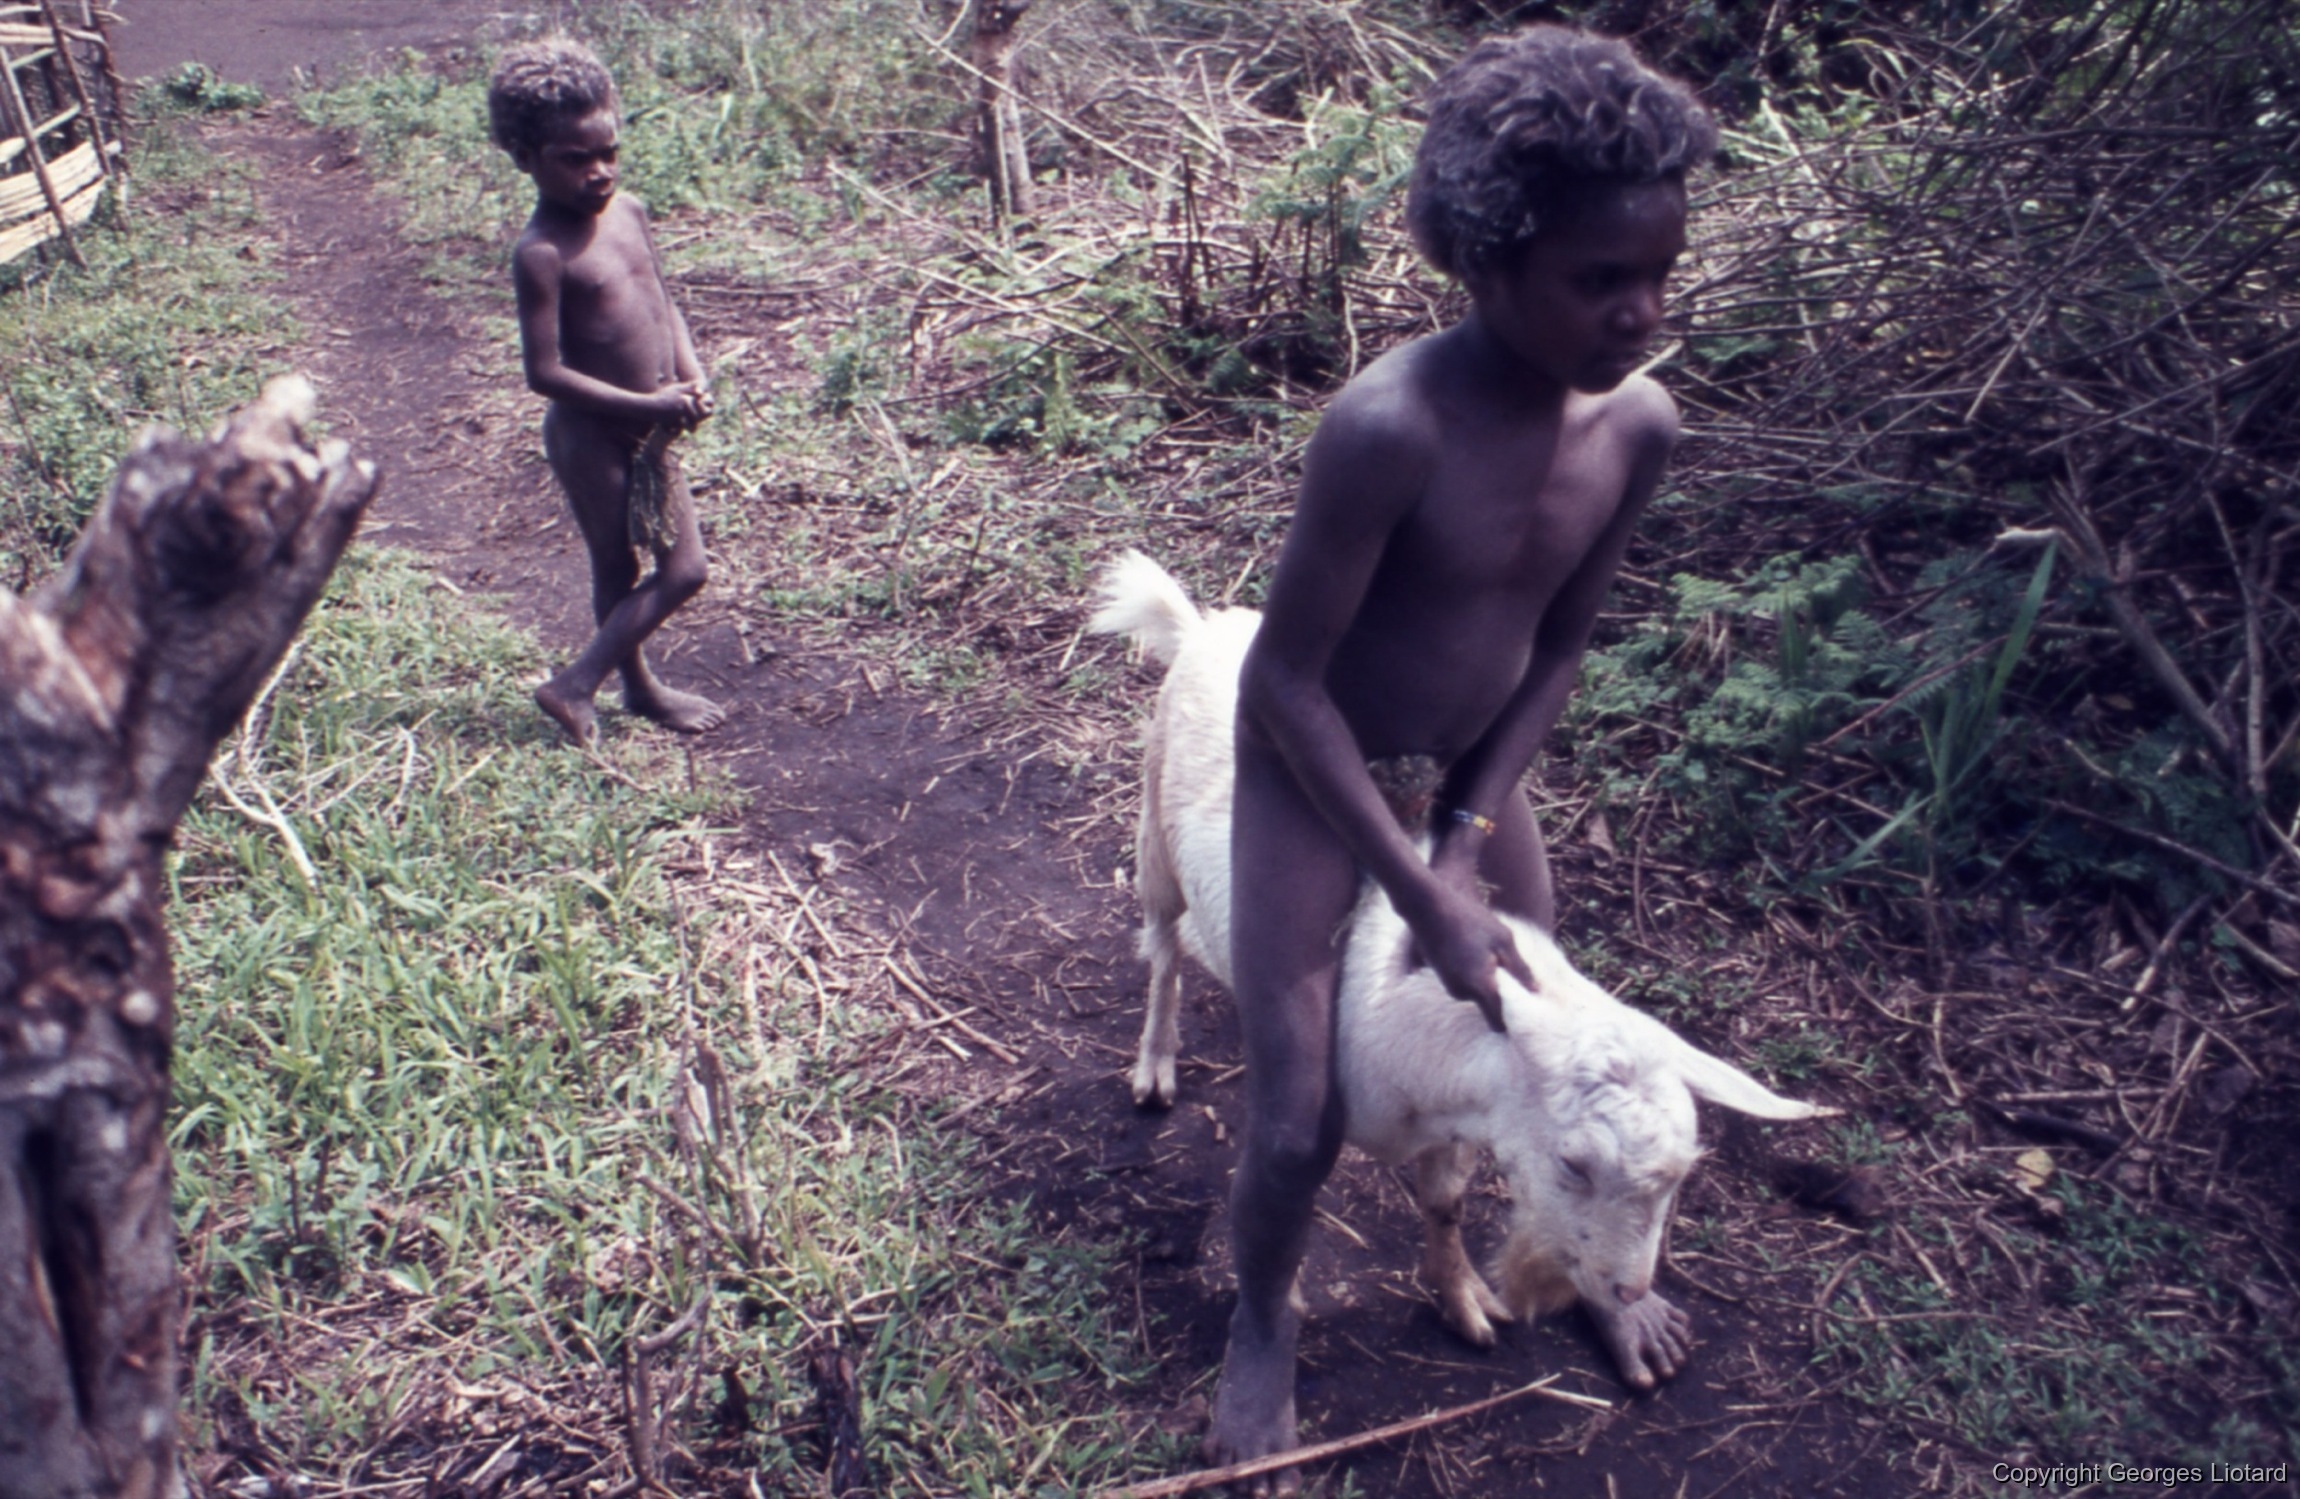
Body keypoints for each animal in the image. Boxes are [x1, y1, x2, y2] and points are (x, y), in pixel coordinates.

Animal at [1090, 550, 1827, 1388]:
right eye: (1573, 1164)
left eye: (1680, 1176)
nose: (1628, 1287)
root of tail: (1203, 625)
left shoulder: (1464, 1122)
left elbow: (1445, 1203)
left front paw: (1464, 1297)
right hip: (1156, 834)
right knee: (1163, 946)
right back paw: (1155, 1065)